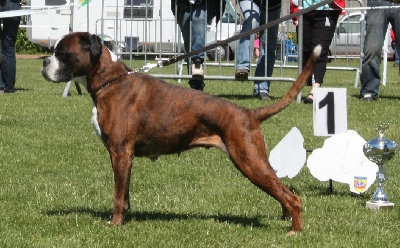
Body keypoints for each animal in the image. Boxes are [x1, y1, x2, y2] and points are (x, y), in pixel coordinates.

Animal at [42, 31, 320, 234]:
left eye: (62, 53)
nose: (44, 61)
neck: (111, 81)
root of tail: (248, 112)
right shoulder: (124, 158)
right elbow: (125, 193)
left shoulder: (120, 153)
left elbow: (118, 195)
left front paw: (116, 224)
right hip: (256, 161)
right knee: (282, 190)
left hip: (249, 161)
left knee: (293, 197)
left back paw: (295, 231)